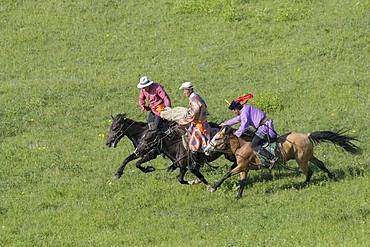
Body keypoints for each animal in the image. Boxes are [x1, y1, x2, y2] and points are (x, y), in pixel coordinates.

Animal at [204, 127, 360, 199]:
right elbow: (242, 182)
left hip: (301, 160)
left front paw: (213, 187)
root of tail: (307, 135)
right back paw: (332, 176)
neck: (242, 146)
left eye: (217, 138)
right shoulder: (244, 168)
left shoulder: (241, 166)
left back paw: (302, 185)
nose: (206, 150)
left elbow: (227, 174)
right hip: (309, 156)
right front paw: (238, 196)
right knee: (320, 164)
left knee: (309, 172)